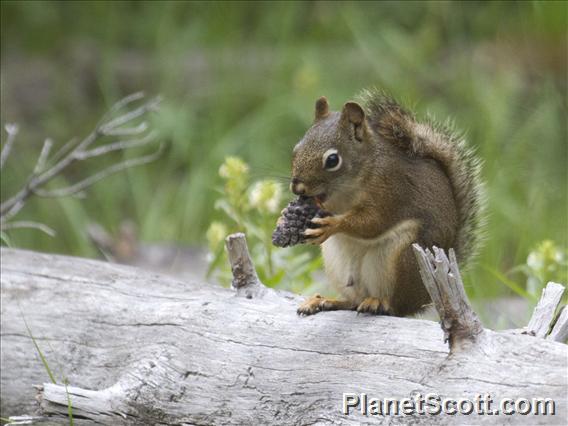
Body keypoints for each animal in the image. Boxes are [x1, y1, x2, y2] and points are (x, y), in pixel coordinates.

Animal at [292, 90, 484, 316]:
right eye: (296, 149)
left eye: (332, 160)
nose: (298, 188)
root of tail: (421, 300)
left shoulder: (390, 190)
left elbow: (373, 223)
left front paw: (332, 225)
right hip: (336, 264)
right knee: (353, 301)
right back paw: (325, 301)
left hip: (402, 256)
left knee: (394, 306)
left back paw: (378, 303)